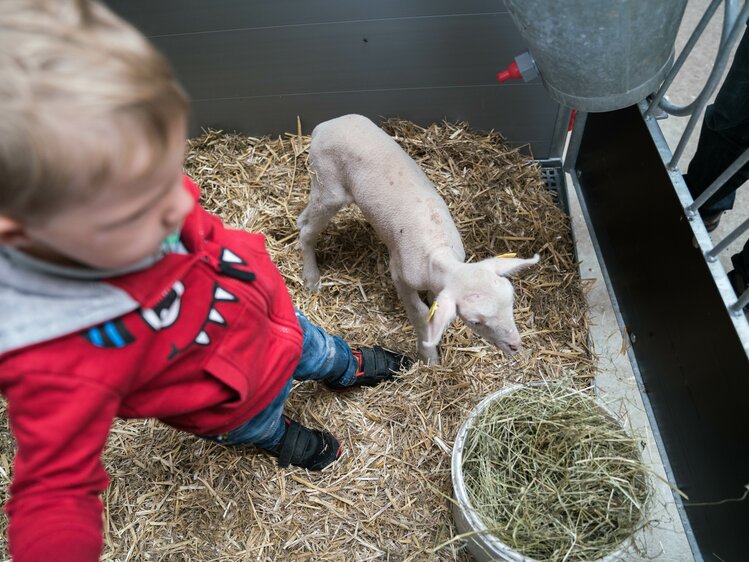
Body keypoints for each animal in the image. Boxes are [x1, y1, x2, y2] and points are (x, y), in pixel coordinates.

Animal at [296, 114, 536, 364]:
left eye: (511, 300)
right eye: (475, 322)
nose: (516, 345)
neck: (439, 251)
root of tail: (322, 126)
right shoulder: (400, 274)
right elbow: (420, 313)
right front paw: (430, 357)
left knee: (302, 220)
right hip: (328, 184)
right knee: (307, 230)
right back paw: (311, 278)